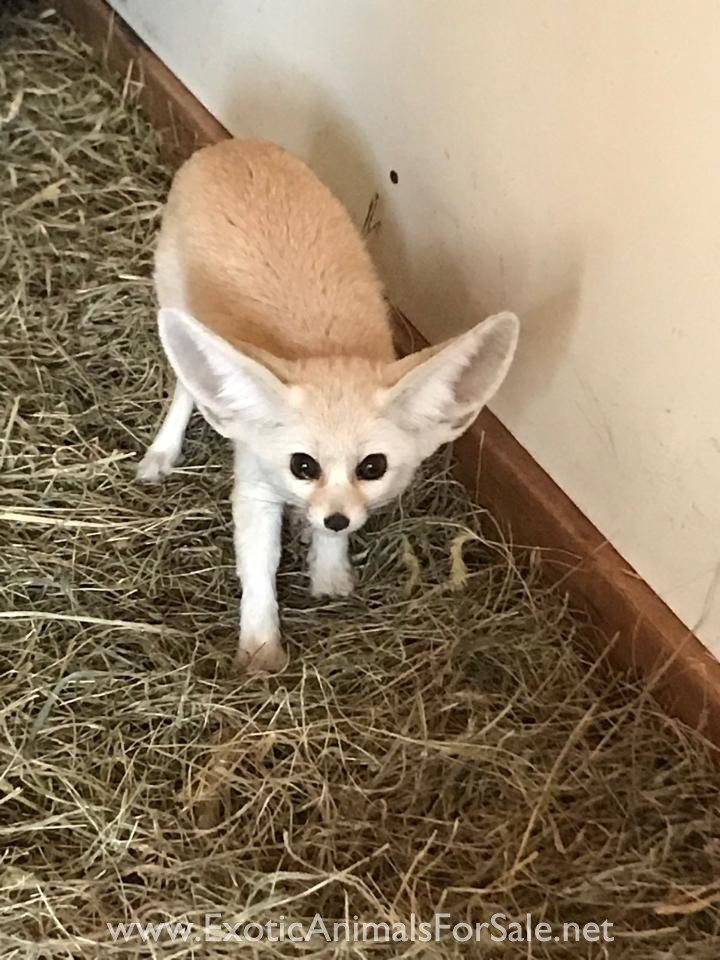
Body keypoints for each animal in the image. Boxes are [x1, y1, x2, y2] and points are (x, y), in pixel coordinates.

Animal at [138, 138, 519, 673]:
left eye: (372, 467)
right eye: (302, 465)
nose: (334, 519)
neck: (322, 348)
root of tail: (233, 144)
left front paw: (330, 568)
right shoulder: (254, 482)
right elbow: (259, 566)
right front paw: (260, 650)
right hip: (176, 309)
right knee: (185, 386)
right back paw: (163, 451)